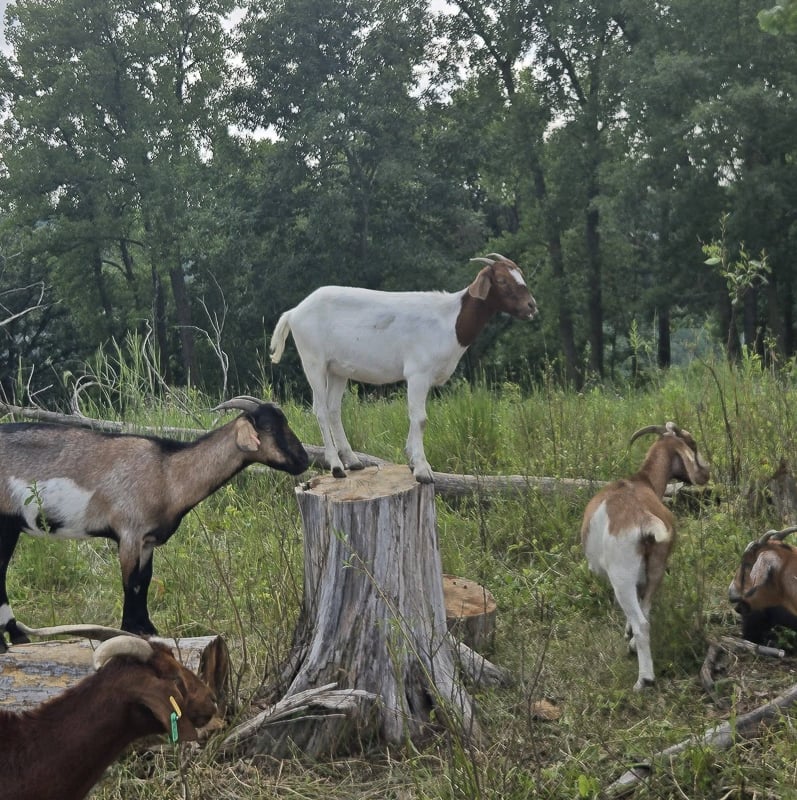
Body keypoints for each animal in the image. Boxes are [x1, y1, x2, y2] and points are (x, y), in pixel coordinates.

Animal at [0, 396, 309, 648]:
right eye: (268, 428)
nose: (304, 461)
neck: (167, 473)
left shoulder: (147, 541)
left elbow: (145, 581)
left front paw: (148, 628)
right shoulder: (129, 534)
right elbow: (130, 582)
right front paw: (128, 630)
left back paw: (17, 636)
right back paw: (11, 639)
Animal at [269, 254, 537, 483]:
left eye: (520, 274)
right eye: (501, 280)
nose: (531, 306)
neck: (449, 321)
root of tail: (294, 312)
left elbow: (416, 417)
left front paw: (411, 459)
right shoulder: (418, 373)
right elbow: (420, 418)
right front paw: (422, 469)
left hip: (338, 369)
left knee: (334, 409)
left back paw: (353, 461)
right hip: (313, 361)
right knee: (321, 410)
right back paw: (336, 466)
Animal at [581, 422, 710, 690]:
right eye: (692, 443)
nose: (706, 474)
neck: (642, 481)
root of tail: (644, 518)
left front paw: (627, 634)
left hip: (622, 575)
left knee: (641, 622)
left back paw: (644, 679)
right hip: (657, 566)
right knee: (647, 612)